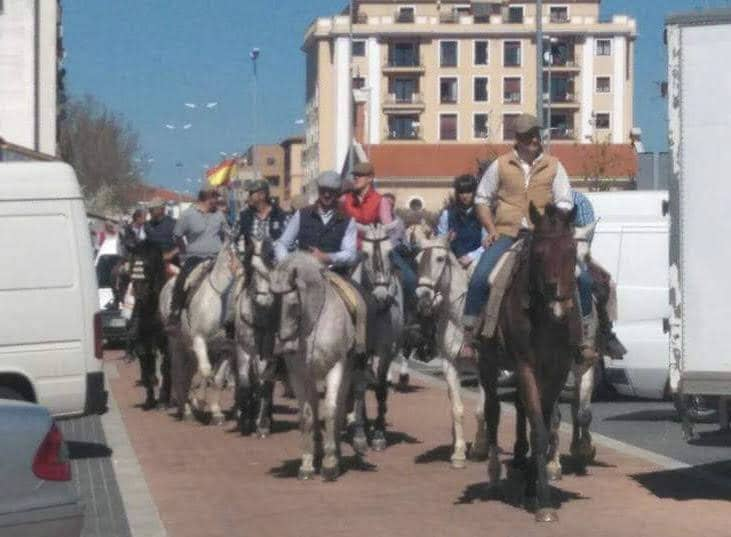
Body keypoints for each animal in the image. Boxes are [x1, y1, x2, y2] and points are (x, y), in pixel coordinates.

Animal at [126, 241, 172, 408]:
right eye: (132, 265)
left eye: (148, 266)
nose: (140, 294)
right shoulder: (143, 341)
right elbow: (147, 364)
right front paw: (150, 399)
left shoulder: (166, 343)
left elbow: (165, 366)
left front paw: (163, 399)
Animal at [159, 241, 244, 426]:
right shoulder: (199, 341)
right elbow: (205, 371)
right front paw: (200, 401)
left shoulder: (226, 349)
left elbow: (217, 378)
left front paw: (216, 413)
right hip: (176, 343)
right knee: (179, 374)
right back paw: (186, 409)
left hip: (188, 347)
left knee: (188, 373)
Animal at [478, 203, 580, 520]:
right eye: (538, 254)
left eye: (572, 250)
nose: (560, 304)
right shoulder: (525, 367)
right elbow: (539, 430)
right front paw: (543, 502)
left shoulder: (558, 371)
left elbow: (545, 424)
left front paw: (533, 489)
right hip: (488, 363)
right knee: (493, 411)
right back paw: (494, 475)